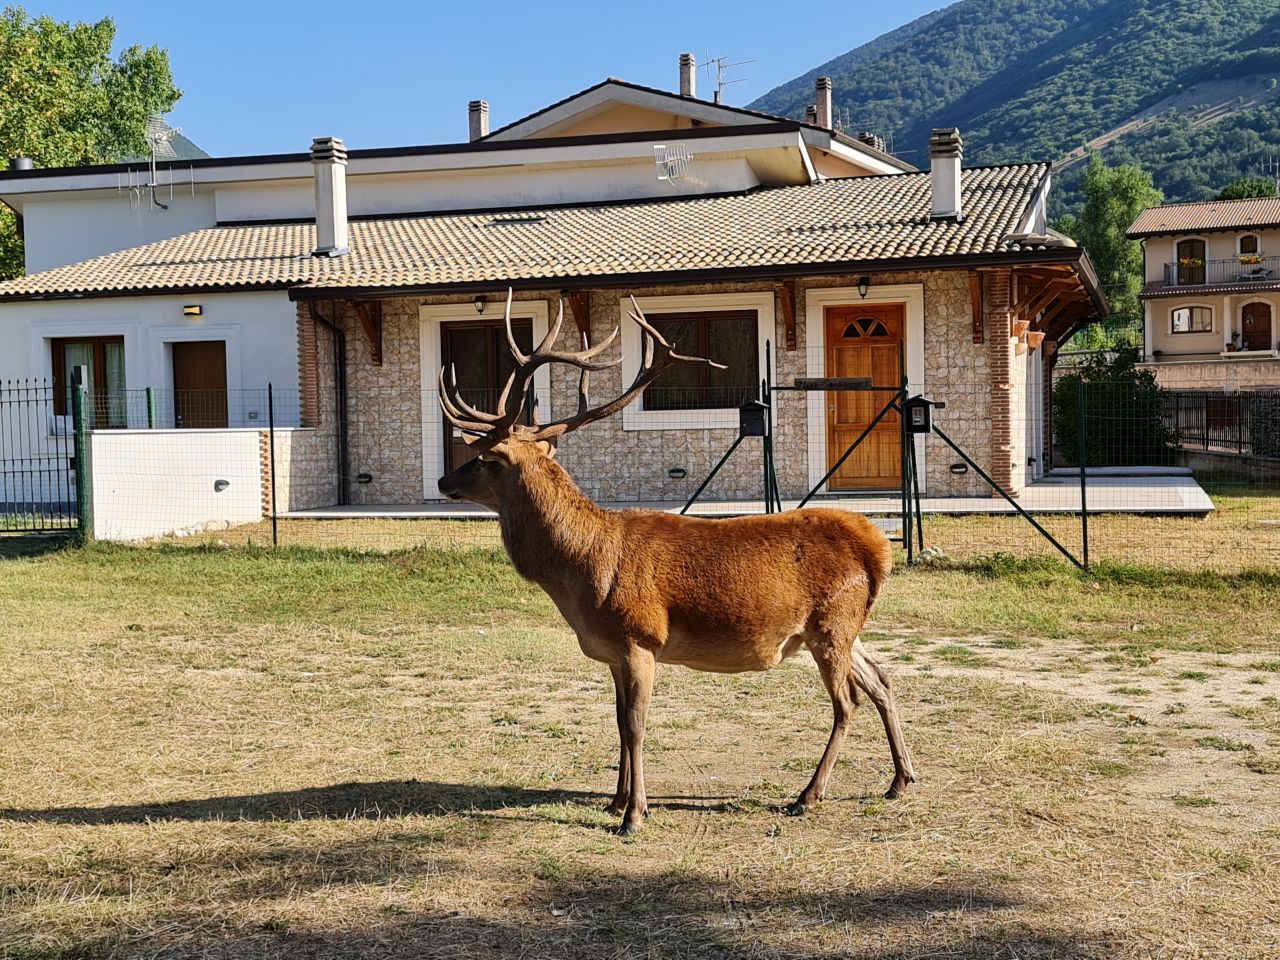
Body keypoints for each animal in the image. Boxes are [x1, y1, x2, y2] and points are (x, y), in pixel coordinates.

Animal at [437, 292, 916, 835]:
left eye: (484, 459)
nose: (444, 480)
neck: (581, 573)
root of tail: (878, 548)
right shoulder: (613, 652)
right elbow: (616, 721)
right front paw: (614, 800)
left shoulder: (639, 637)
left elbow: (635, 726)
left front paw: (634, 815)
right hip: (845, 628)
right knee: (882, 680)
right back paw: (900, 780)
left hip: (831, 624)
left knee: (846, 702)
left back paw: (808, 795)